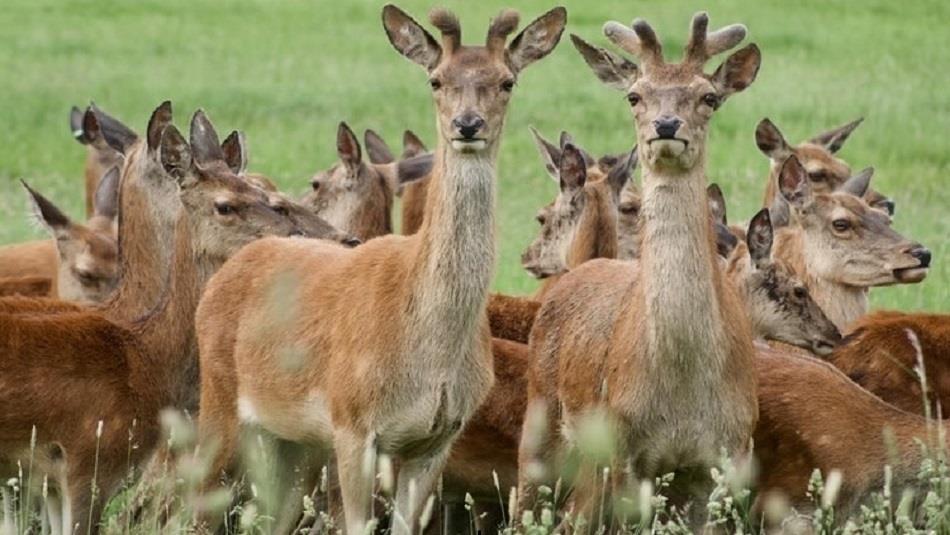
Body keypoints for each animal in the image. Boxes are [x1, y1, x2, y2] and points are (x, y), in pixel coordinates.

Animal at [0, 108, 312, 532]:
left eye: (263, 195)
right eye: (225, 205)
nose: (298, 234)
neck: (141, 352)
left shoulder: (46, 479)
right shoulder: (87, 460)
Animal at [520, 12, 768, 528]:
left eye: (708, 96)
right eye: (634, 95)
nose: (666, 124)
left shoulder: (729, 454)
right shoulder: (624, 450)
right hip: (543, 422)